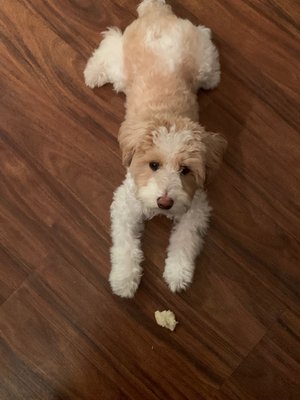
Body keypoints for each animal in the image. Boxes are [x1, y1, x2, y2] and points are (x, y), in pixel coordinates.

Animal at [83, 0, 226, 296]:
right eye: (153, 165)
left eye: (185, 170)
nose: (165, 202)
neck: (169, 116)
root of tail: (157, 11)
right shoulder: (125, 203)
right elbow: (125, 245)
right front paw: (124, 278)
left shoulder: (195, 206)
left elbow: (184, 241)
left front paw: (177, 273)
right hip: (122, 69)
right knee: (110, 41)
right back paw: (92, 73)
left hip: (203, 68)